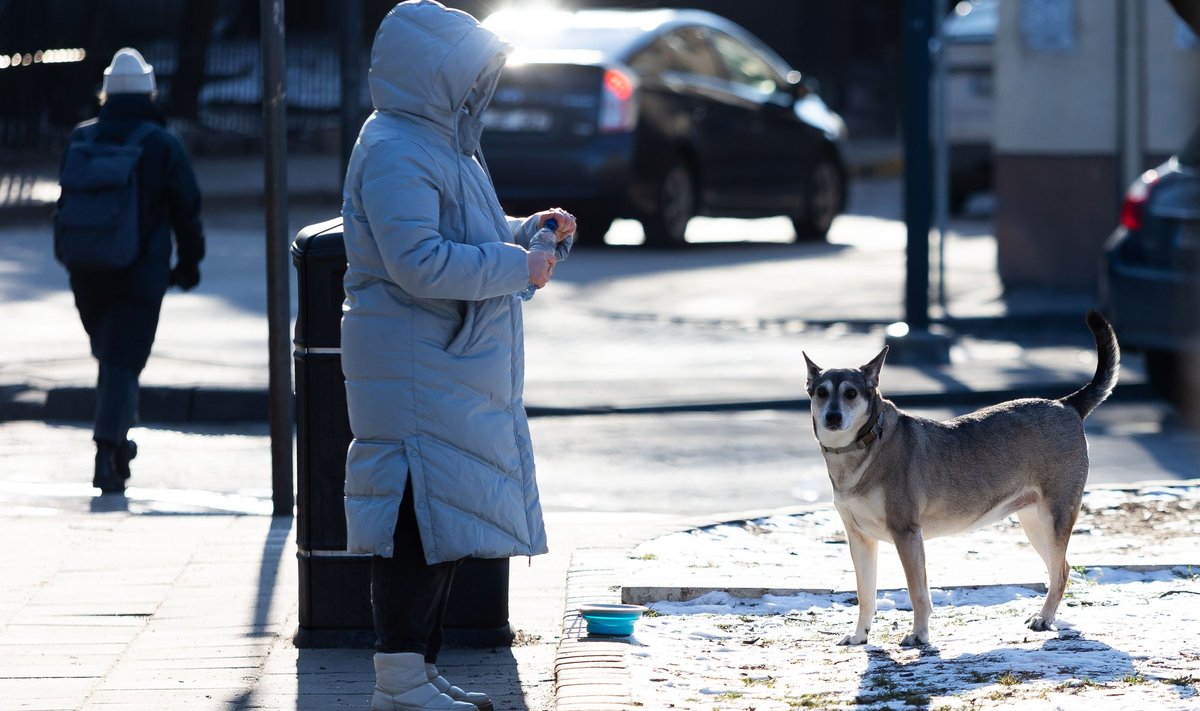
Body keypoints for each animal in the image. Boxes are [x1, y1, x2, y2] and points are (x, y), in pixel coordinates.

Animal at [801, 309, 1118, 643]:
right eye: (821, 392)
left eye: (851, 393)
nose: (832, 416)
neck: (863, 446)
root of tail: (1066, 404)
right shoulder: (859, 538)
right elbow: (865, 594)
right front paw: (860, 635)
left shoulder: (907, 534)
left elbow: (917, 593)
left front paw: (919, 635)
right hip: (1034, 523)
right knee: (1063, 568)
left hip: (1054, 518)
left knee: (1059, 572)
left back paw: (1044, 619)